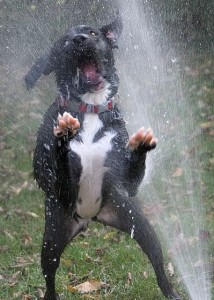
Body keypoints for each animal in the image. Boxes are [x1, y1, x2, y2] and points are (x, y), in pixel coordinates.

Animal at [25, 12, 181, 298]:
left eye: (93, 33)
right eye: (64, 41)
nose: (78, 39)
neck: (90, 107)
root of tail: (91, 217)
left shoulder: (127, 185)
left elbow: (133, 173)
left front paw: (141, 145)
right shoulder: (57, 185)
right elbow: (59, 165)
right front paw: (63, 136)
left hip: (137, 221)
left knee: (157, 261)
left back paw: (171, 292)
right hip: (52, 237)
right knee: (49, 277)